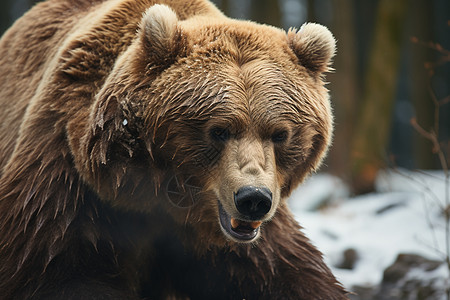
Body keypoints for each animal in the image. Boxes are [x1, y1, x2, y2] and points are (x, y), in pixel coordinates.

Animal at [0, 0, 348, 298]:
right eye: (219, 131)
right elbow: (59, 273)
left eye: (279, 134)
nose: (253, 199)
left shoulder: (246, 243)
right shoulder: (67, 188)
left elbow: (291, 275)